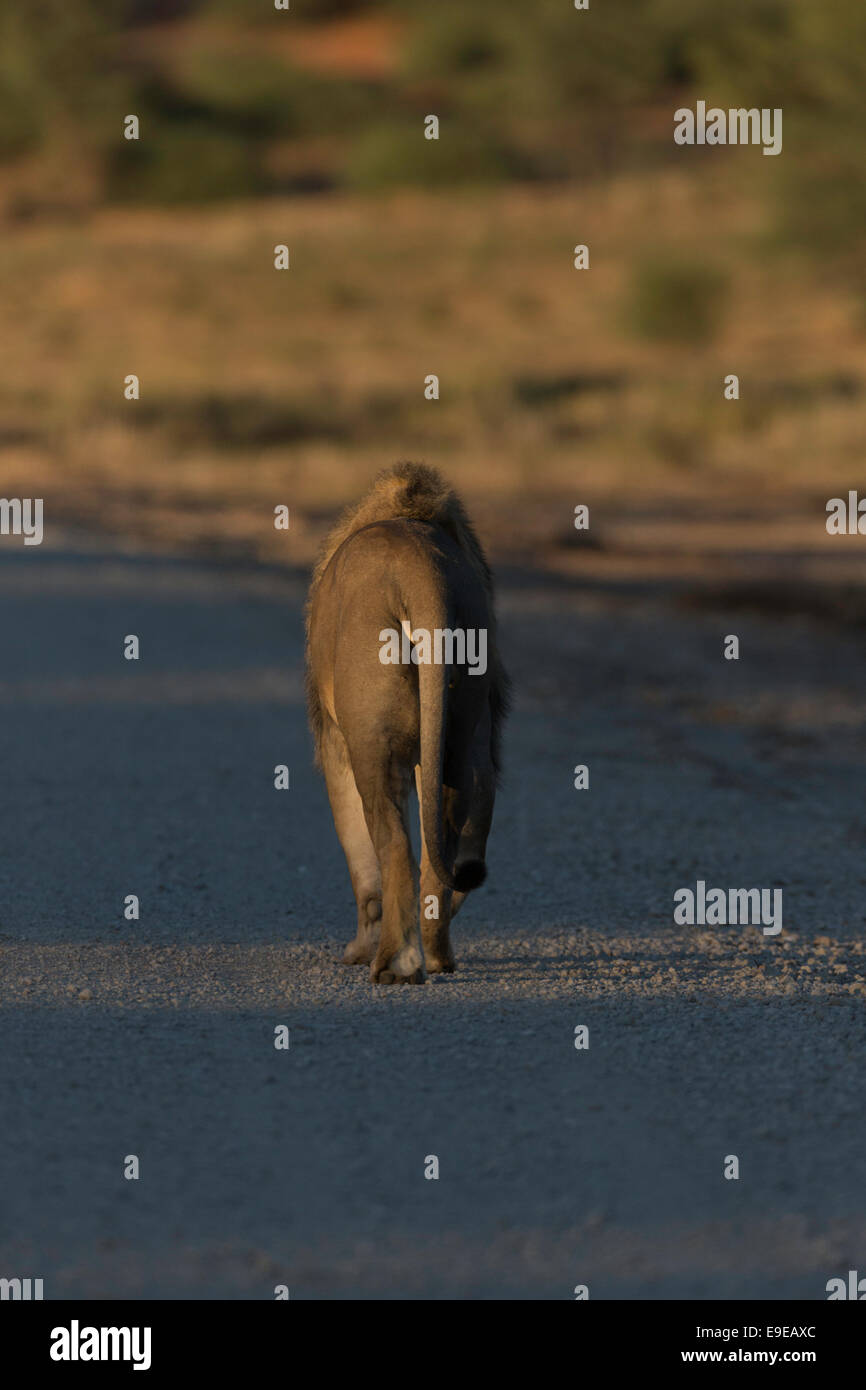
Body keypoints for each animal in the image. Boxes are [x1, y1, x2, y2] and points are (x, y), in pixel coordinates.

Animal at [304, 461, 508, 984]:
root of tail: (420, 570)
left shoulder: (333, 742)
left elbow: (361, 860)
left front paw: (357, 948)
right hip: (459, 732)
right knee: (443, 850)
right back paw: (436, 957)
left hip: (371, 740)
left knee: (394, 846)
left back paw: (394, 963)